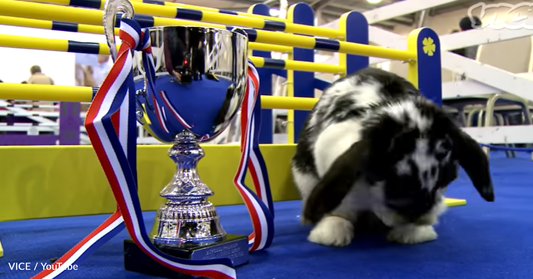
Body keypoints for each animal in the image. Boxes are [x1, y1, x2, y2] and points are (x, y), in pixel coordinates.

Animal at [290, 67, 494, 247]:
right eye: (384, 172)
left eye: (447, 176)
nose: (416, 210)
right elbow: (341, 207)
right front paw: (331, 235)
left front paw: (412, 234)